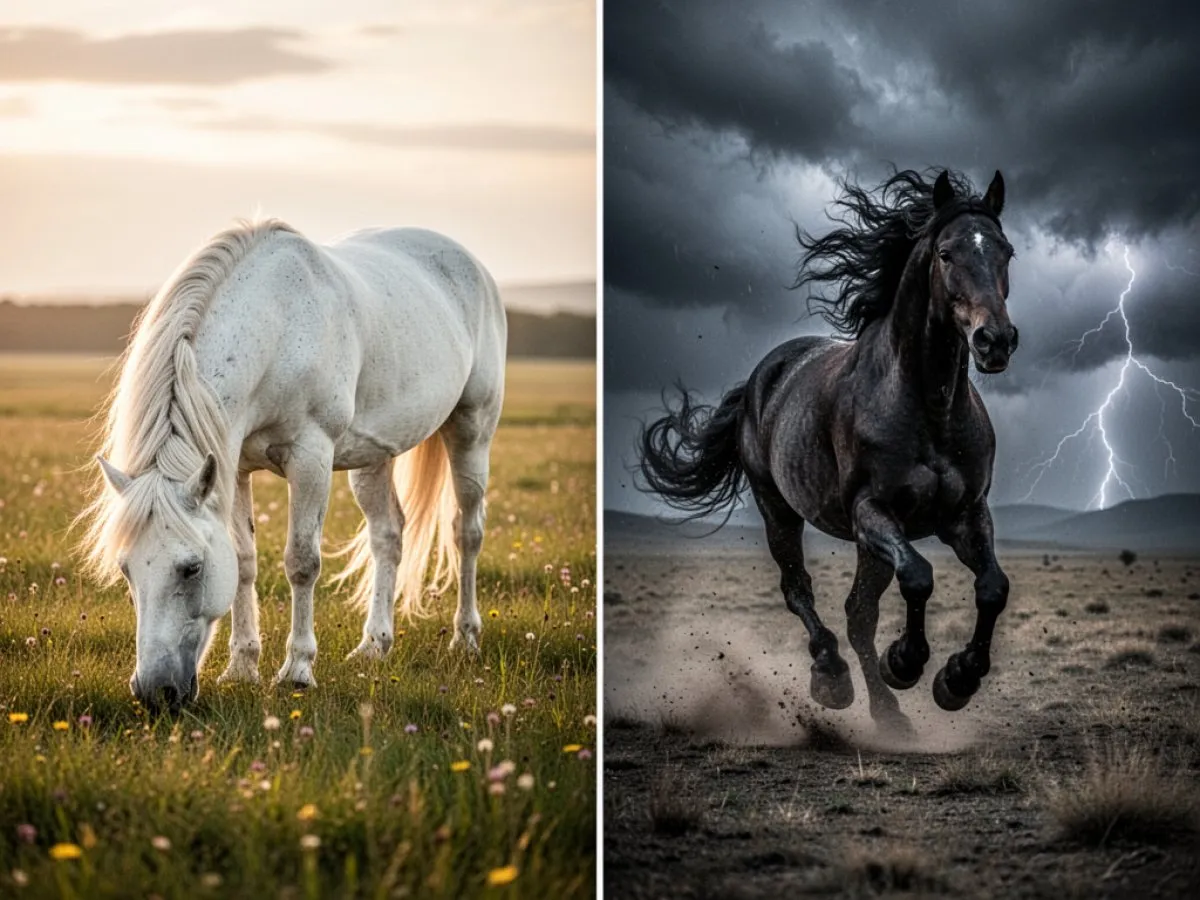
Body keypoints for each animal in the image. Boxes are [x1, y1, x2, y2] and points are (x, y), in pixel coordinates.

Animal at [79, 220, 507, 710]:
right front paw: (241, 668)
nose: (155, 692)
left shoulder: (310, 457)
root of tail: (469, 262)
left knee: (466, 531)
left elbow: (302, 561)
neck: (276, 329)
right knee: (388, 535)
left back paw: (465, 639)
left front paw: (297, 671)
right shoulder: (234, 467)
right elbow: (245, 561)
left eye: (192, 567)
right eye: (125, 569)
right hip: (373, 456)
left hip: (472, 430)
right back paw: (373, 645)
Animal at [637, 169, 1017, 734]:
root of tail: (761, 377)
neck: (928, 407)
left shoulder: (966, 514)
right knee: (802, 591)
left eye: (1006, 252)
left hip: (867, 542)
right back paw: (835, 679)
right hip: (779, 509)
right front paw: (906, 661)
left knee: (859, 614)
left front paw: (957, 679)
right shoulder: (871, 511)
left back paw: (888, 714)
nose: (995, 340)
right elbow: (918, 578)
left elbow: (993, 586)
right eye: (947, 253)